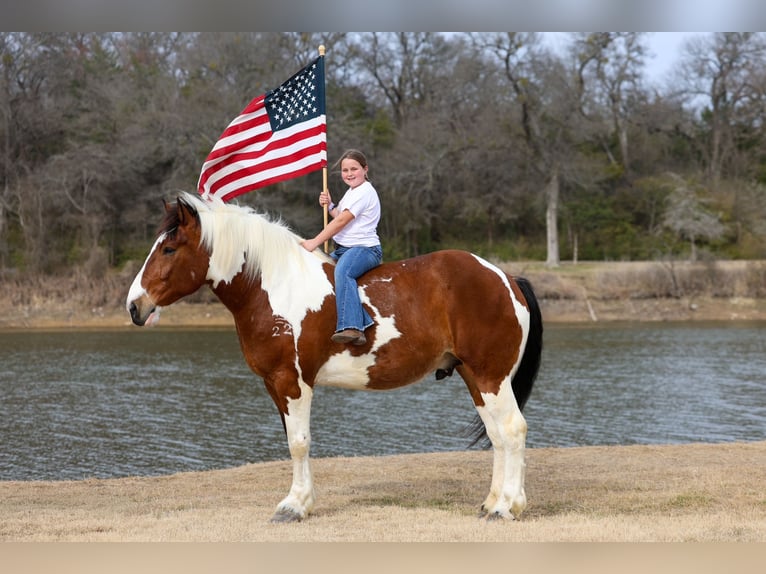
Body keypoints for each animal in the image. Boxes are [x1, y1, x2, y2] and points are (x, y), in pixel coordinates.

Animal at [126, 192, 543, 523]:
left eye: (169, 249)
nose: (134, 306)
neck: (274, 287)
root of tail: (506, 279)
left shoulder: (292, 381)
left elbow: (299, 442)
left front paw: (293, 507)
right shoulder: (274, 384)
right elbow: (292, 439)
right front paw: (300, 502)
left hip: (491, 376)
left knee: (512, 431)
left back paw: (507, 507)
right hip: (476, 377)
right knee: (497, 436)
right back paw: (492, 503)